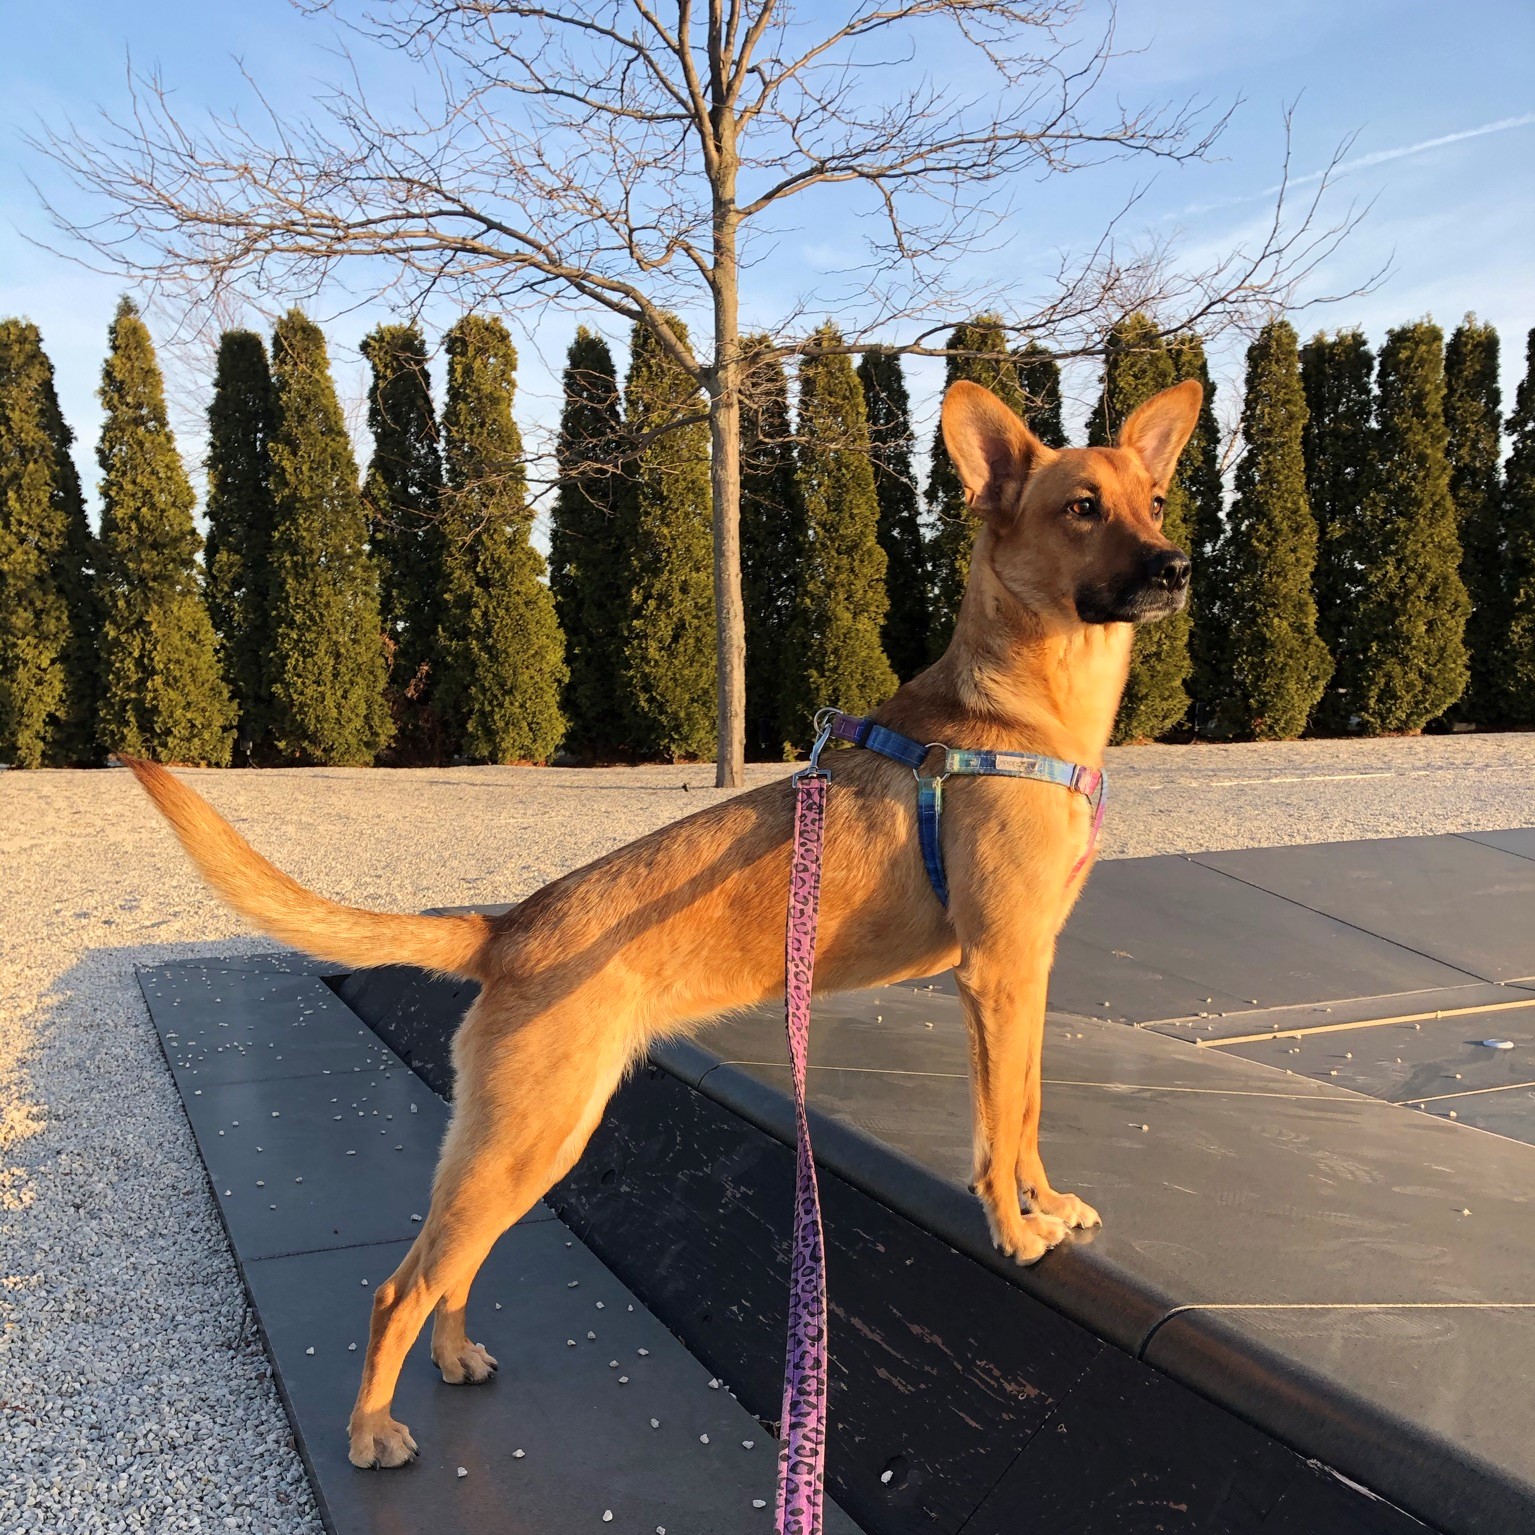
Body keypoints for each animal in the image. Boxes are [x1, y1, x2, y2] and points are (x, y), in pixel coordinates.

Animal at [125, 371, 1197, 1461]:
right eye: (1080, 508)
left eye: (1153, 500)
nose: (1176, 567)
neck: (1016, 714)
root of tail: (507, 926)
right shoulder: (995, 971)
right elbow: (998, 1125)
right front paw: (1014, 1229)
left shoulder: (1027, 971)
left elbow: (1025, 1112)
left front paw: (1043, 1202)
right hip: (530, 1139)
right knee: (400, 1286)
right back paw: (373, 1426)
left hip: (520, 1144)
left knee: (448, 1269)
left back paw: (454, 1356)